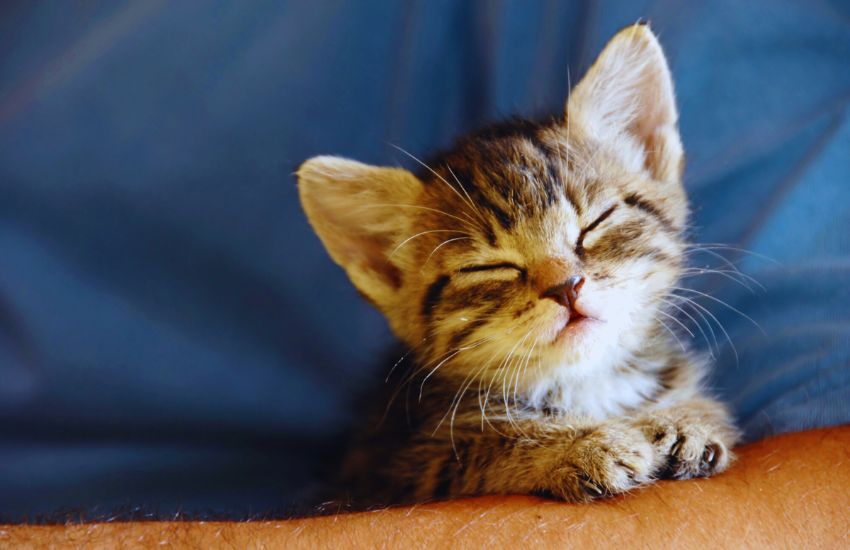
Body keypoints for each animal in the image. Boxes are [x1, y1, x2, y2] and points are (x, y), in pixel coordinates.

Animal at [296, 23, 736, 506]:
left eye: (595, 223)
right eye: (488, 268)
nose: (566, 286)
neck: (584, 382)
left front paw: (685, 416)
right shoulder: (401, 469)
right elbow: (490, 445)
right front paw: (582, 443)